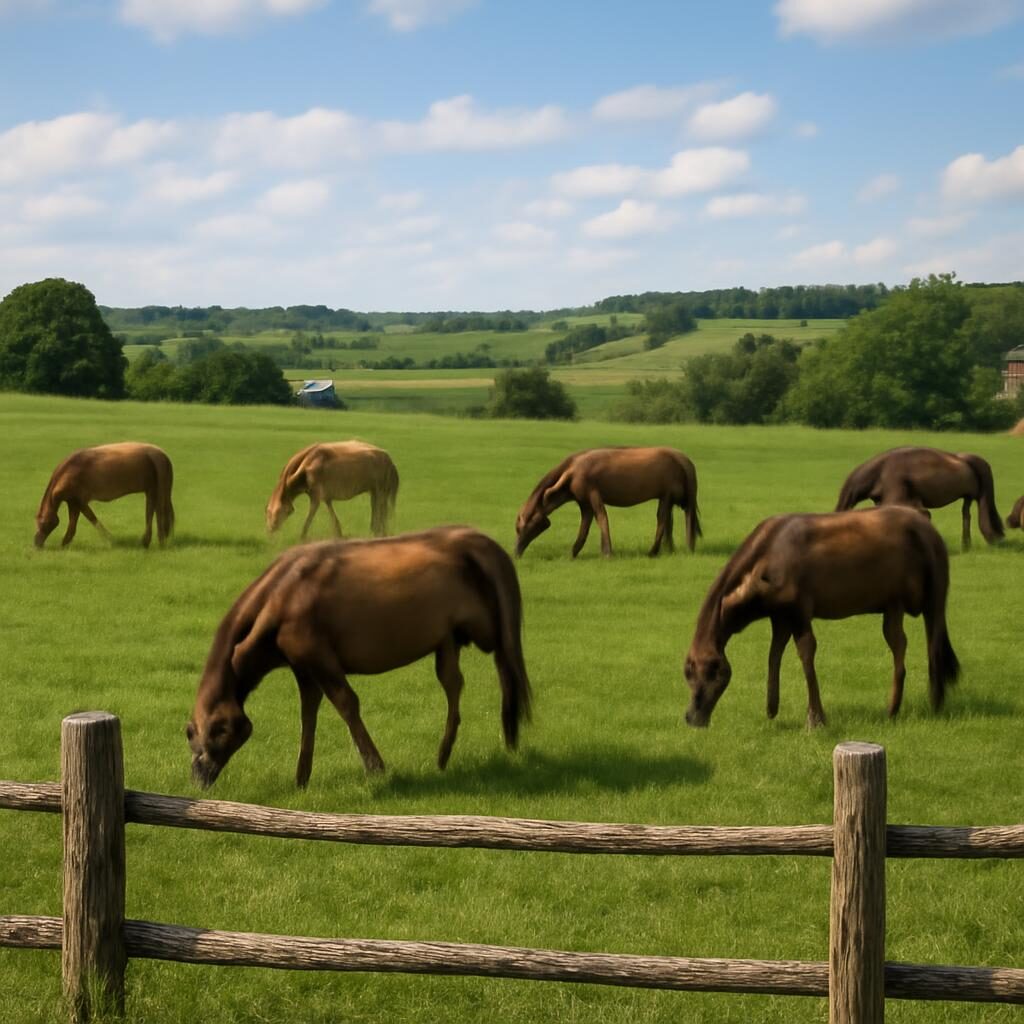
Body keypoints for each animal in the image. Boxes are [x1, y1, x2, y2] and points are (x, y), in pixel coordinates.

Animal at [34, 442, 175, 549]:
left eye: (42, 523)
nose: (36, 543)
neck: (66, 472)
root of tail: (161, 455)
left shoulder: (78, 501)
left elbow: (91, 519)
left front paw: (112, 540)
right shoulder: (73, 502)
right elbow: (75, 523)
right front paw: (65, 543)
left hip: (156, 488)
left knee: (158, 511)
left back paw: (158, 541)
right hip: (152, 489)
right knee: (153, 511)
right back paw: (148, 541)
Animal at [187, 526, 532, 787]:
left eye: (199, 734)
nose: (197, 778)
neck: (279, 595)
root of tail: (479, 540)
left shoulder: (318, 655)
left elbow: (347, 703)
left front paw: (376, 766)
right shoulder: (303, 666)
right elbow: (308, 715)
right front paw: (301, 778)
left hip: (497, 634)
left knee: (504, 677)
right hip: (447, 639)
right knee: (458, 684)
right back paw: (453, 753)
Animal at [265, 441, 398, 539]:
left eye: (281, 512)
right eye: (267, 513)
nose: (270, 530)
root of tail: (389, 460)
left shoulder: (316, 496)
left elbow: (310, 515)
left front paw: (302, 536)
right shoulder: (325, 496)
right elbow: (333, 515)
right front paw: (339, 534)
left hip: (380, 490)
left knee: (381, 510)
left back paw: (380, 532)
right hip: (375, 491)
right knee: (377, 509)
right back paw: (377, 531)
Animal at [515, 446, 701, 558]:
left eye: (520, 527)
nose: (516, 551)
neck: (571, 473)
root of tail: (682, 458)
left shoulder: (592, 493)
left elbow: (602, 518)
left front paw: (607, 552)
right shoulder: (584, 502)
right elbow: (584, 528)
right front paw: (573, 553)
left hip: (668, 494)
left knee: (664, 520)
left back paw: (654, 551)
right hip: (669, 497)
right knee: (671, 522)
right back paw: (672, 549)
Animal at [683, 506, 959, 729]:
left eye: (708, 673)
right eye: (687, 674)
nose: (690, 717)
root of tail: (926, 523)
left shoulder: (798, 609)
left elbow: (806, 652)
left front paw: (815, 717)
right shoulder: (781, 615)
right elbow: (774, 653)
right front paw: (771, 706)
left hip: (935, 594)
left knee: (933, 643)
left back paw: (934, 701)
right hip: (893, 603)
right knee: (899, 641)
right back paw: (895, 706)